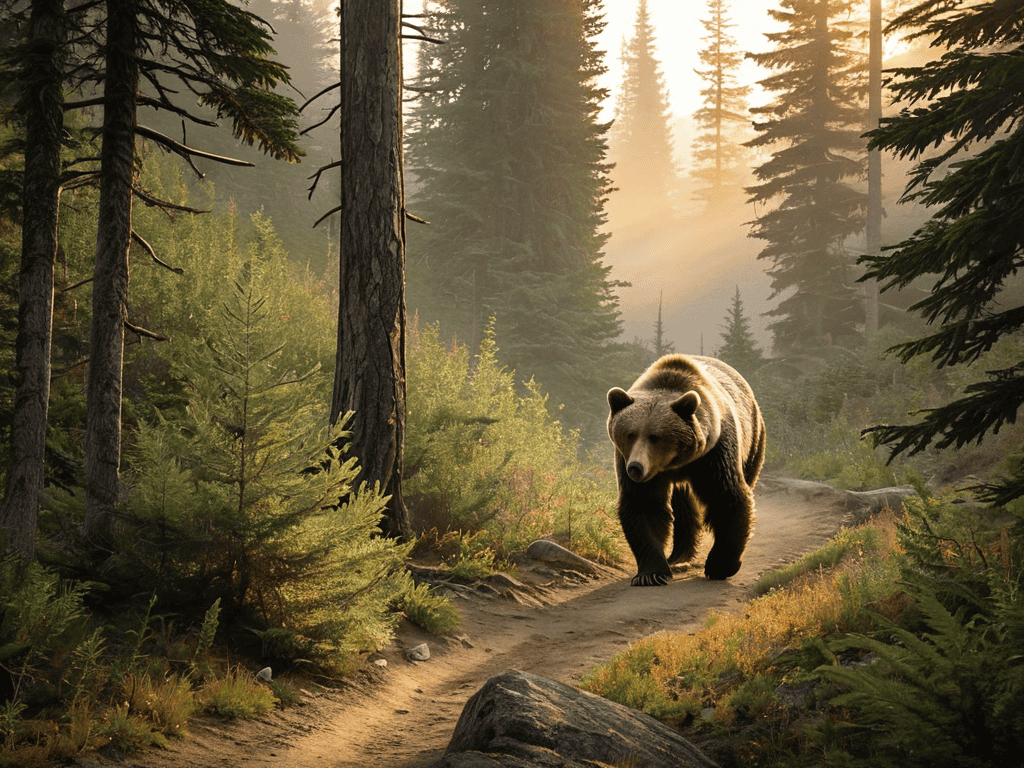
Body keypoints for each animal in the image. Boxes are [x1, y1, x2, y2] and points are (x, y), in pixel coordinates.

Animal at [607, 354, 766, 586]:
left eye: (655, 436)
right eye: (630, 434)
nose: (636, 468)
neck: (674, 463)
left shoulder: (713, 454)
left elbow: (726, 497)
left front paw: (720, 565)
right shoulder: (630, 460)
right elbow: (644, 503)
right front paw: (651, 574)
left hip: (753, 439)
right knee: (682, 506)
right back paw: (679, 556)